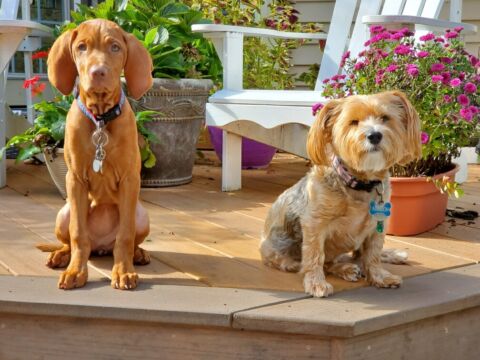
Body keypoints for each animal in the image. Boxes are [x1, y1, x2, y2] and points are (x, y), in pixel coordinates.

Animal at [43, 19, 153, 290]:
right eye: (82, 47)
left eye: (115, 47)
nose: (98, 72)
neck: (101, 118)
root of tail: (101, 246)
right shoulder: (75, 179)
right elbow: (78, 235)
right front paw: (76, 271)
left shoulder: (130, 179)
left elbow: (125, 236)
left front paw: (123, 271)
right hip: (64, 213)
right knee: (72, 241)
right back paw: (61, 255)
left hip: (142, 215)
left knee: (127, 240)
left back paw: (138, 254)